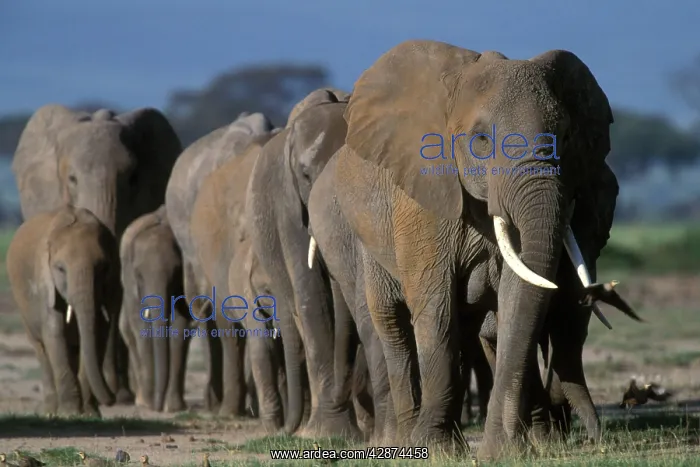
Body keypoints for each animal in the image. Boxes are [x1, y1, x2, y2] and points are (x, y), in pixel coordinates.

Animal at [6, 205, 121, 415]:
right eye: (60, 269)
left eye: (103, 268)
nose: (112, 399)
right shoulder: (44, 280)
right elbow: (54, 332)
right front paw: (70, 414)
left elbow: (98, 333)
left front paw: (89, 414)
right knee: (41, 350)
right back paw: (51, 411)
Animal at [118, 205, 192, 413]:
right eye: (139, 275)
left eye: (176, 272)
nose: (158, 407)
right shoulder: (130, 282)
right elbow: (141, 327)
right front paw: (148, 405)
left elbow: (180, 326)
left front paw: (173, 408)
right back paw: (141, 399)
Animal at [329, 39, 637, 459]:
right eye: (481, 140)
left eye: (566, 135)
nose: (596, 439)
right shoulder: (424, 196)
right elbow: (435, 305)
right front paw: (435, 450)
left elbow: (516, 296)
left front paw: (504, 451)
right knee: (392, 323)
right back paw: (407, 441)